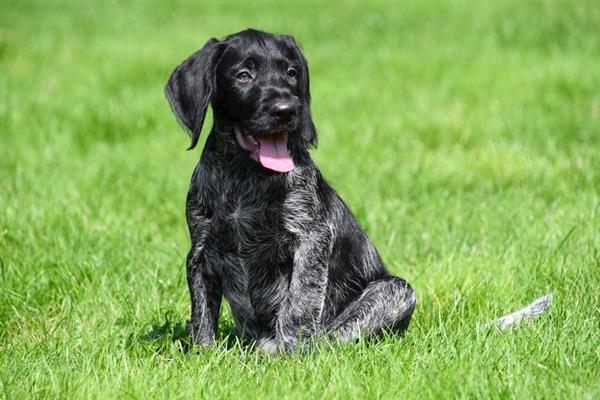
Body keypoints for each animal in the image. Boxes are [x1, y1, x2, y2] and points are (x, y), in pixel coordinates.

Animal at [165, 28, 418, 354]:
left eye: (291, 73)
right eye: (244, 75)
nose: (286, 110)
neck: (245, 176)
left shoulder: (311, 239)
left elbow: (299, 302)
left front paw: (288, 353)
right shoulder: (201, 249)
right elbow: (202, 312)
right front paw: (203, 354)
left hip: (395, 289)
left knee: (331, 335)